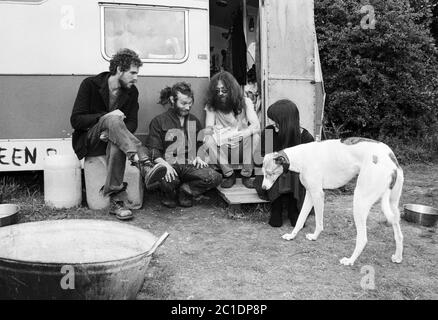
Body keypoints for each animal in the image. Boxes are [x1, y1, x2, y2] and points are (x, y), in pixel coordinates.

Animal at [262, 138, 406, 264]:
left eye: (270, 173)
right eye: (263, 173)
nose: (263, 188)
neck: (302, 157)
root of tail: (392, 161)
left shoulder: (318, 194)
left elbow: (319, 222)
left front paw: (315, 236)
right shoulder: (310, 194)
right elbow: (300, 219)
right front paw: (292, 236)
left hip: (359, 202)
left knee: (363, 239)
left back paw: (350, 260)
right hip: (393, 206)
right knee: (399, 234)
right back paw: (398, 257)